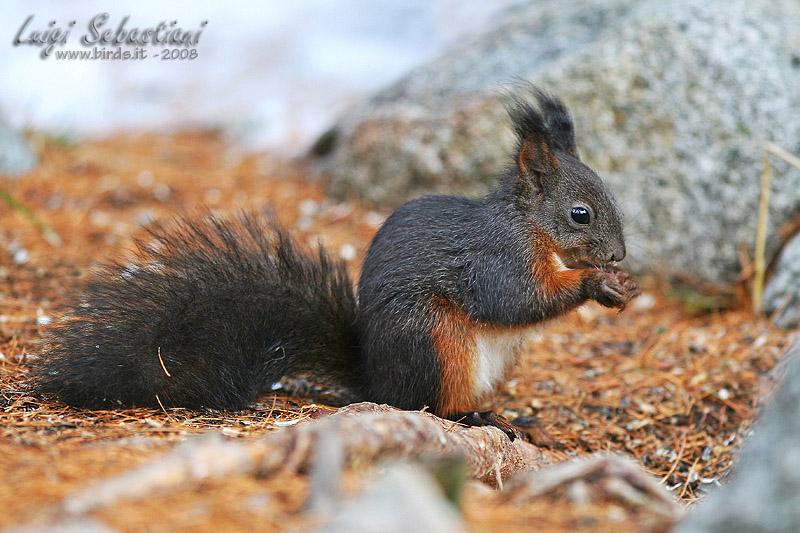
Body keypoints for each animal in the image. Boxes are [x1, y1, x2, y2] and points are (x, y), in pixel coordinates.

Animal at [33, 88, 639, 440]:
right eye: (580, 214)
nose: (618, 255)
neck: (531, 229)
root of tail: (377, 379)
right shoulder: (495, 259)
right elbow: (514, 300)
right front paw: (596, 284)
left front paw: (621, 283)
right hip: (434, 340)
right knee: (425, 406)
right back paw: (474, 417)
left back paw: (517, 418)